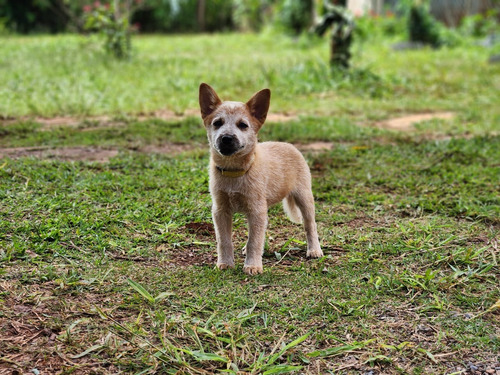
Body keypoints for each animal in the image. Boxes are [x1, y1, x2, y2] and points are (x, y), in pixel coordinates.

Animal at [199, 83, 324, 276]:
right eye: (217, 123)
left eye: (243, 125)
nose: (226, 138)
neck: (234, 172)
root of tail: (289, 145)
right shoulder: (220, 210)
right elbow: (224, 240)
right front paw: (225, 263)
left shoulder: (256, 209)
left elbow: (254, 241)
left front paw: (252, 265)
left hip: (304, 197)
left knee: (310, 225)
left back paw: (314, 249)